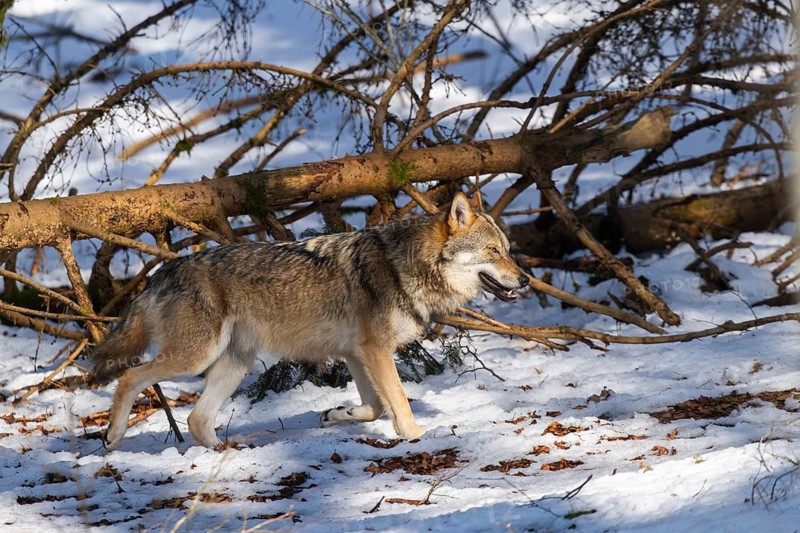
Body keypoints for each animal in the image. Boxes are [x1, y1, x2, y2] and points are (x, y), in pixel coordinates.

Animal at [89, 192, 529, 450]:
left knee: (197, 419)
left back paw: (225, 454)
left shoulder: (357, 354)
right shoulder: (374, 351)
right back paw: (113, 435)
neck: (403, 266)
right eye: (493, 251)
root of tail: (164, 270)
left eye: (508, 249)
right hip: (196, 358)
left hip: (234, 364)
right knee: (130, 376)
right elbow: (399, 405)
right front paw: (418, 439)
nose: (524, 279)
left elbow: (375, 407)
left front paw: (336, 415)